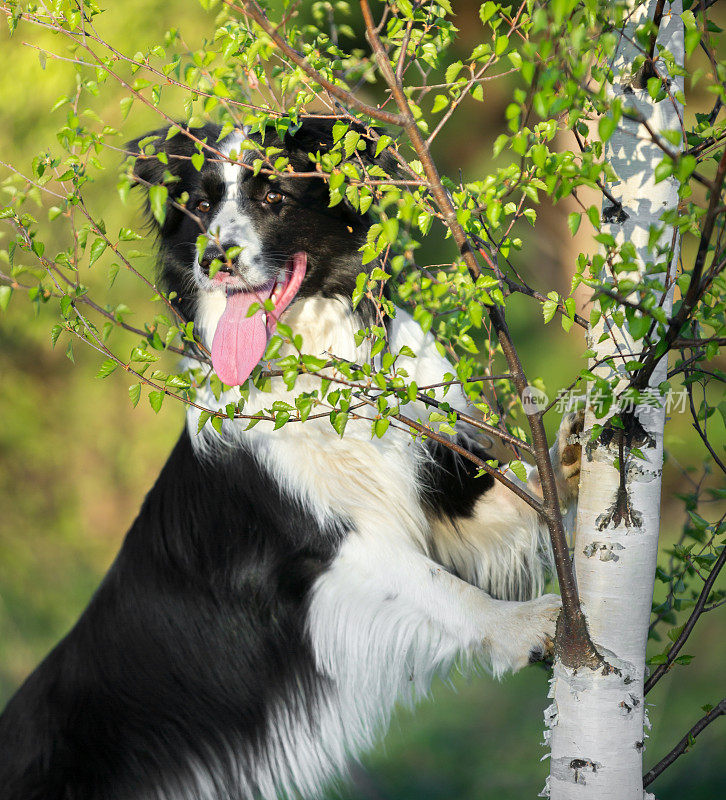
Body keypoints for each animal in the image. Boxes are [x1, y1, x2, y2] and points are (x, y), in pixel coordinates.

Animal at [0, 120, 580, 800]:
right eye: (201, 207)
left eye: (275, 197)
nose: (214, 260)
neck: (317, 369)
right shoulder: (320, 552)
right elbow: (434, 585)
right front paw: (522, 625)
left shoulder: (435, 482)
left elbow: (520, 491)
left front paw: (578, 452)